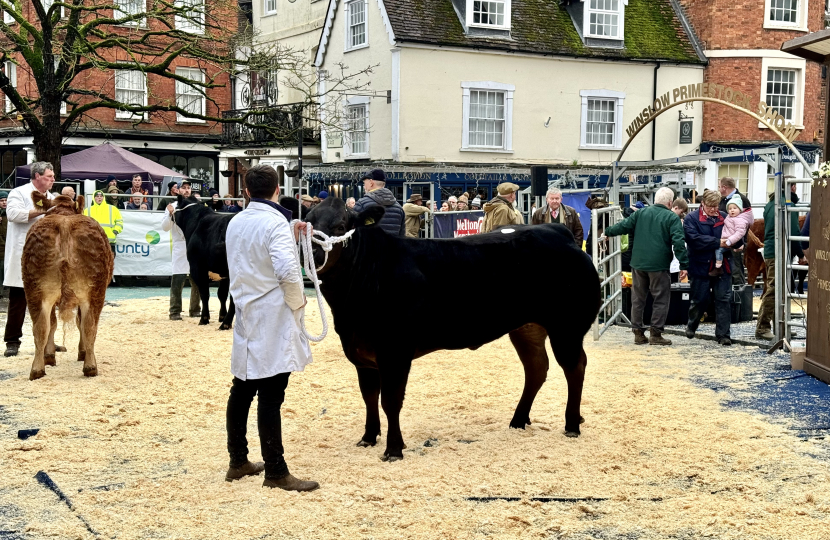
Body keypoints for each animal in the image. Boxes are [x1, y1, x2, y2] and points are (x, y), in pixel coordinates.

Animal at [22, 194, 113, 380]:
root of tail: (64, 224)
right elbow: (78, 322)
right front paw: (81, 352)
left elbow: (52, 323)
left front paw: (49, 355)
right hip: (94, 291)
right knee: (89, 325)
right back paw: (90, 366)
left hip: (35, 289)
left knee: (40, 327)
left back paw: (37, 369)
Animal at [172, 194, 237, 330]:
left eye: (176, 205)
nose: (170, 214)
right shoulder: (224, 275)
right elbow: (222, 294)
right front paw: (221, 316)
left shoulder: (197, 268)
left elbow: (204, 293)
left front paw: (204, 319)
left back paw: (225, 324)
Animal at [304, 197, 600, 460]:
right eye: (307, 221)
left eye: (341, 225)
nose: (314, 253)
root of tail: (557, 232)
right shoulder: (361, 352)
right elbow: (368, 397)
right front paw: (367, 437)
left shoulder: (395, 351)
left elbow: (390, 400)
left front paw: (394, 449)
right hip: (527, 328)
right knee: (537, 368)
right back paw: (518, 420)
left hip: (568, 327)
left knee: (575, 367)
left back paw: (571, 425)